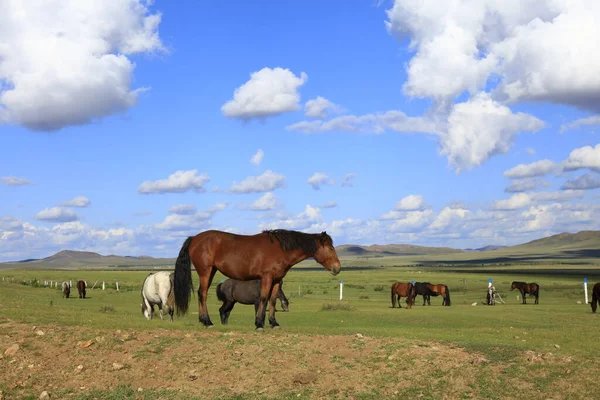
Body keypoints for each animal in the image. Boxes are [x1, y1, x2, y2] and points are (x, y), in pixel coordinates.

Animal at [173, 230, 342, 330]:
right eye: (330, 248)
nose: (337, 268)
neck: (281, 249)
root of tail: (194, 238)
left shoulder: (277, 280)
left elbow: (272, 301)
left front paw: (273, 323)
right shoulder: (267, 277)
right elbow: (263, 298)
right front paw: (259, 323)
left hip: (212, 271)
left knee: (202, 294)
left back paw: (203, 321)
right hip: (205, 271)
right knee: (202, 294)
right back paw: (207, 322)